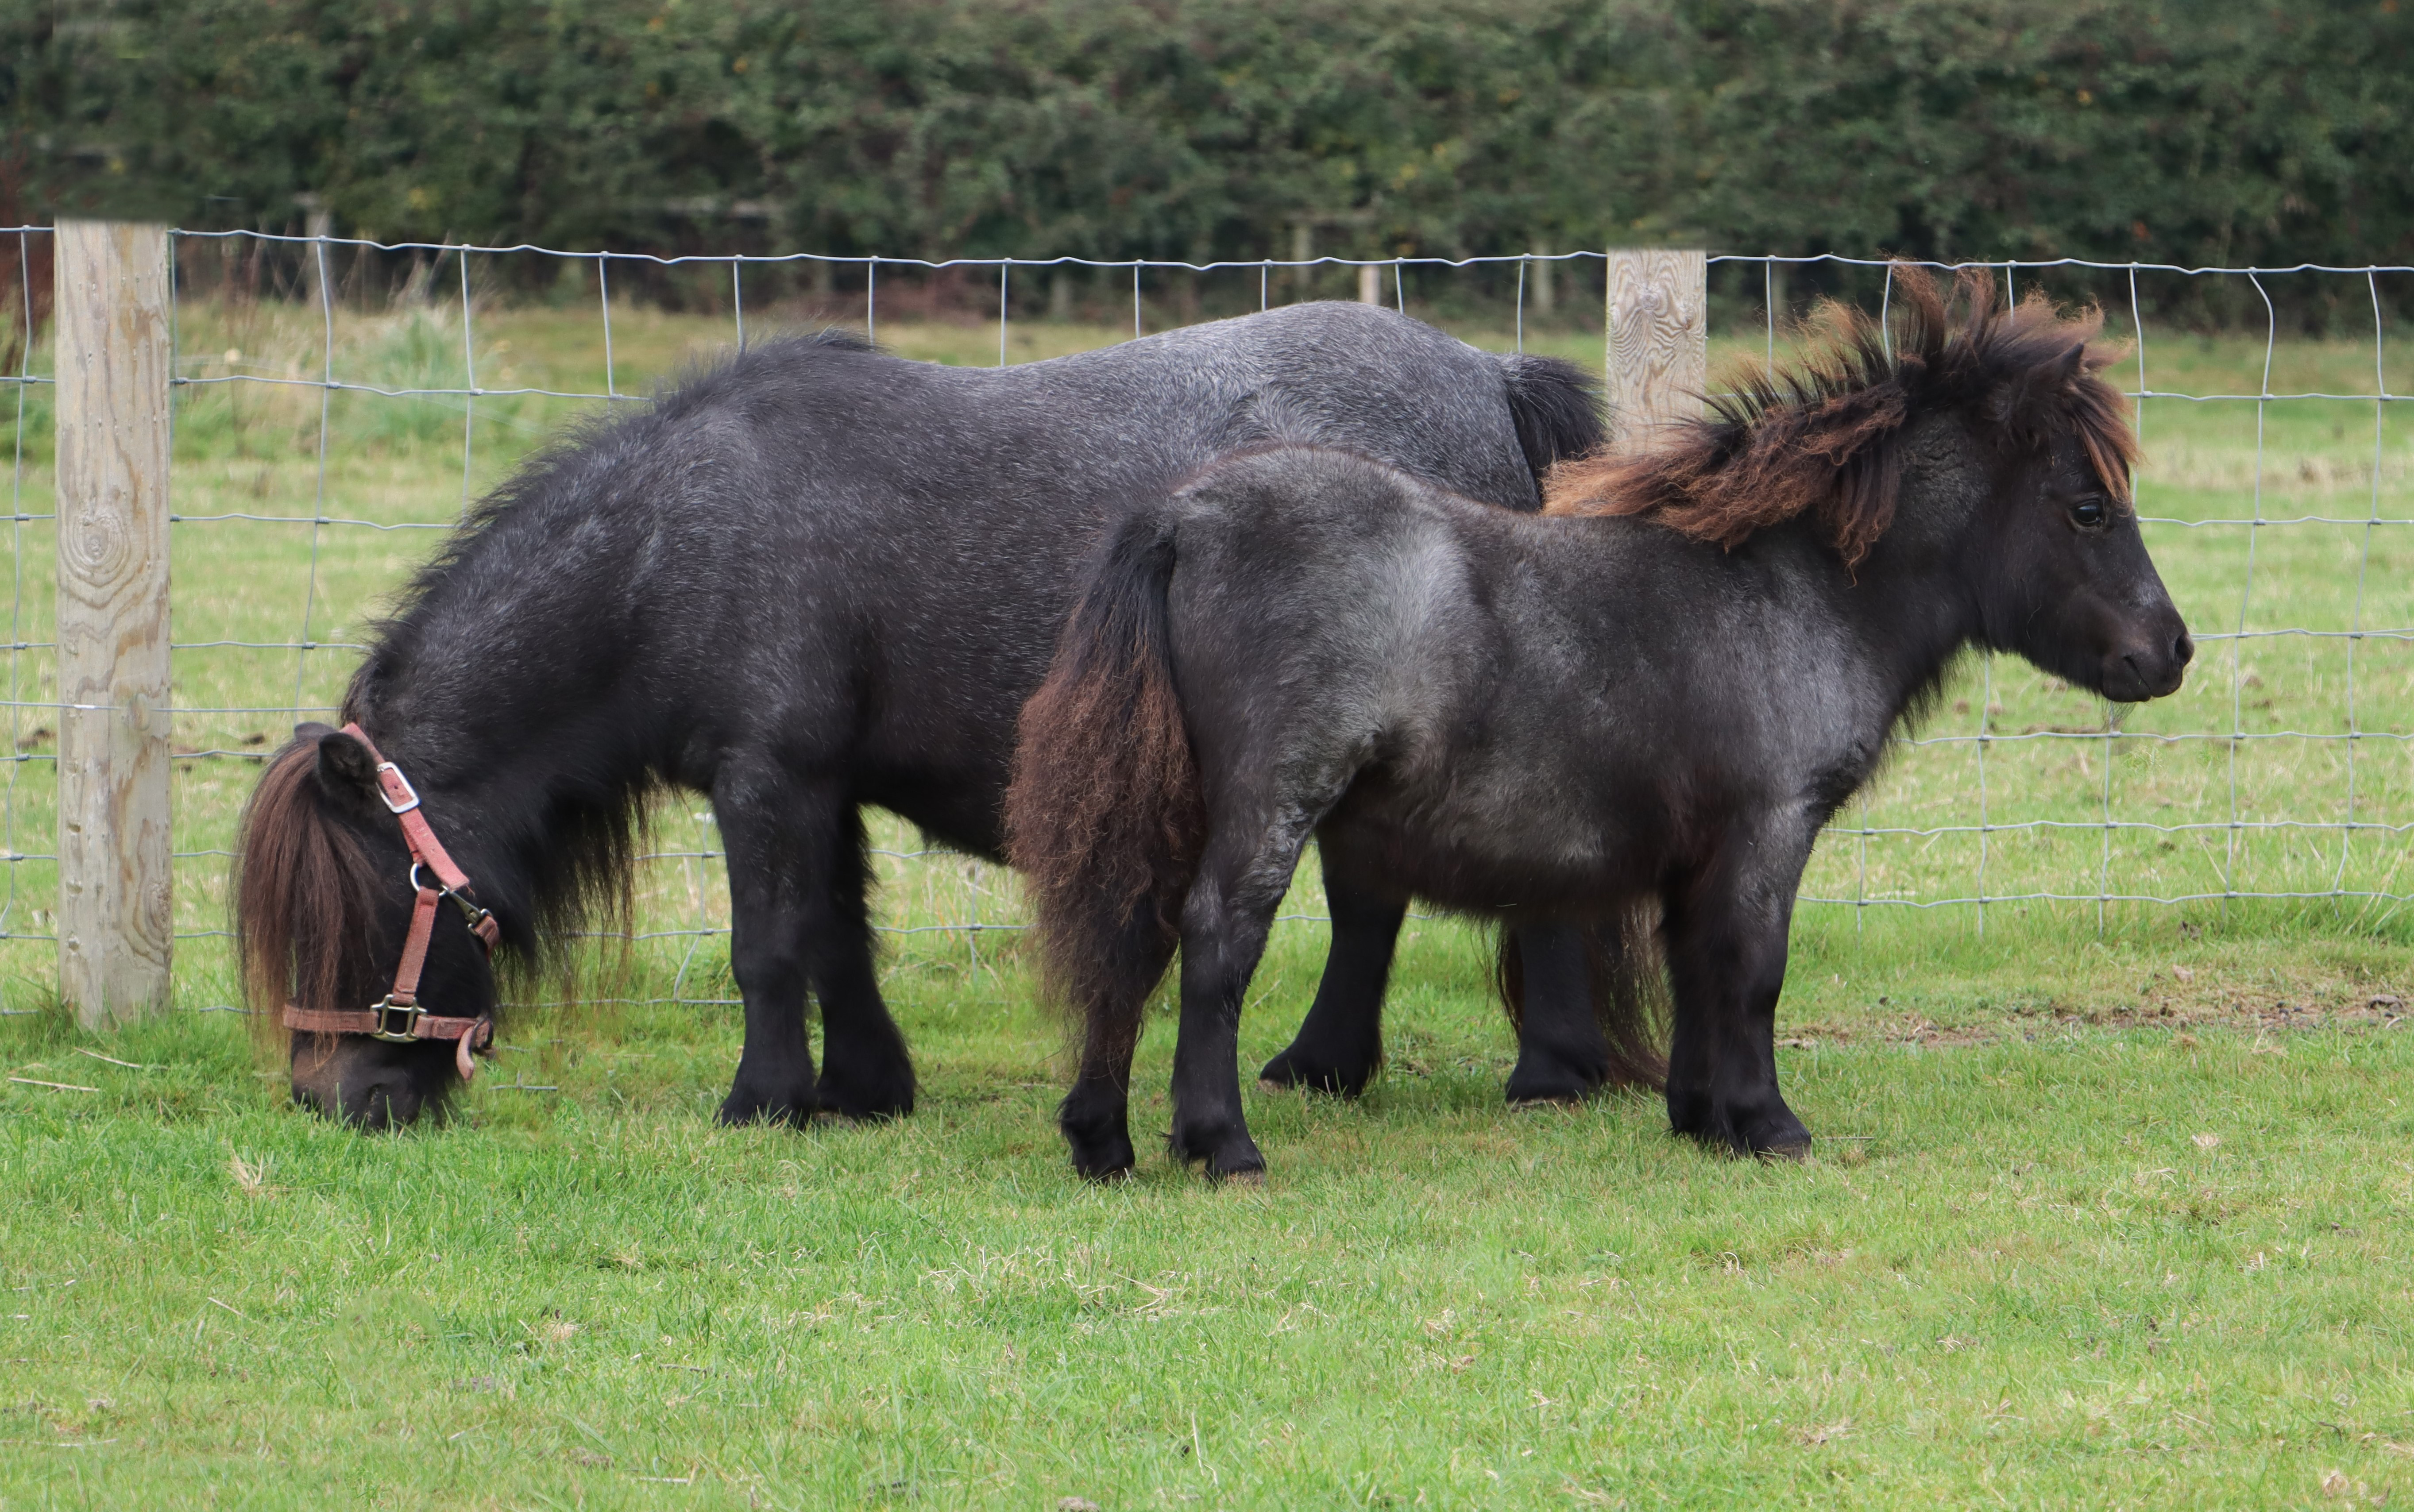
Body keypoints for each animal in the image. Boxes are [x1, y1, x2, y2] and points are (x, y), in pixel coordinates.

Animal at [1009, 264, 2202, 1174]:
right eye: (2087, 508)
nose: (2171, 652)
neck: (1786, 591)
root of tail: (1182, 514)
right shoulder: (1768, 829)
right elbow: (1753, 970)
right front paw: (1768, 1125)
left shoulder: (1694, 853)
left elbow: (1697, 971)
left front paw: (1703, 1119)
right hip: (1271, 801)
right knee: (1215, 941)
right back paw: (1221, 1145)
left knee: (1132, 933)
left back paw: (1101, 1138)